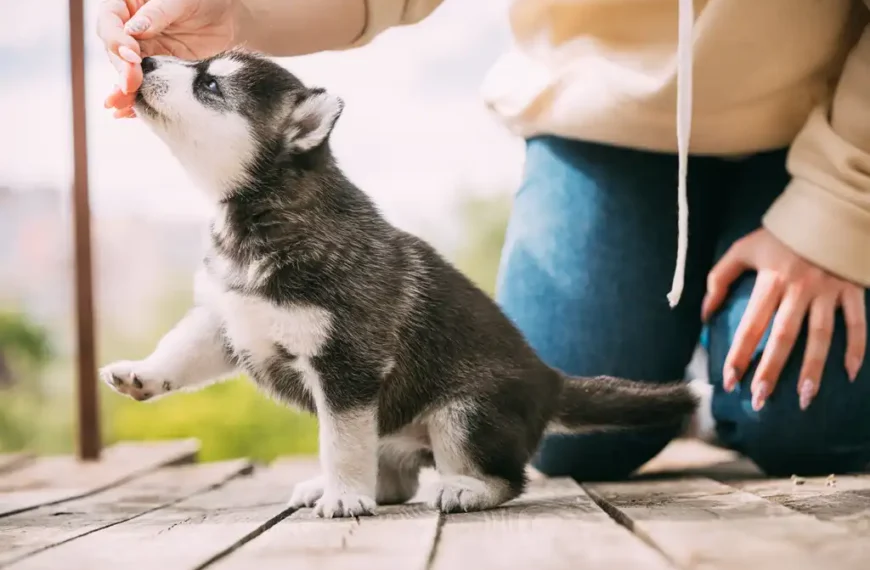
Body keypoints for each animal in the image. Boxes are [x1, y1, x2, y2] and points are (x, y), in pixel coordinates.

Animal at [100, 51, 696, 516]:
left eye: (209, 85)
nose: (145, 60)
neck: (260, 217)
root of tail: (549, 378)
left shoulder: (346, 363)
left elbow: (340, 441)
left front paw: (344, 496)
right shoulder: (227, 318)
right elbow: (181, 350)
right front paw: (141, 374)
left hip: (464, 415)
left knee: (506, 478)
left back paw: (463, 490)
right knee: (395, 478)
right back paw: (339, 486)